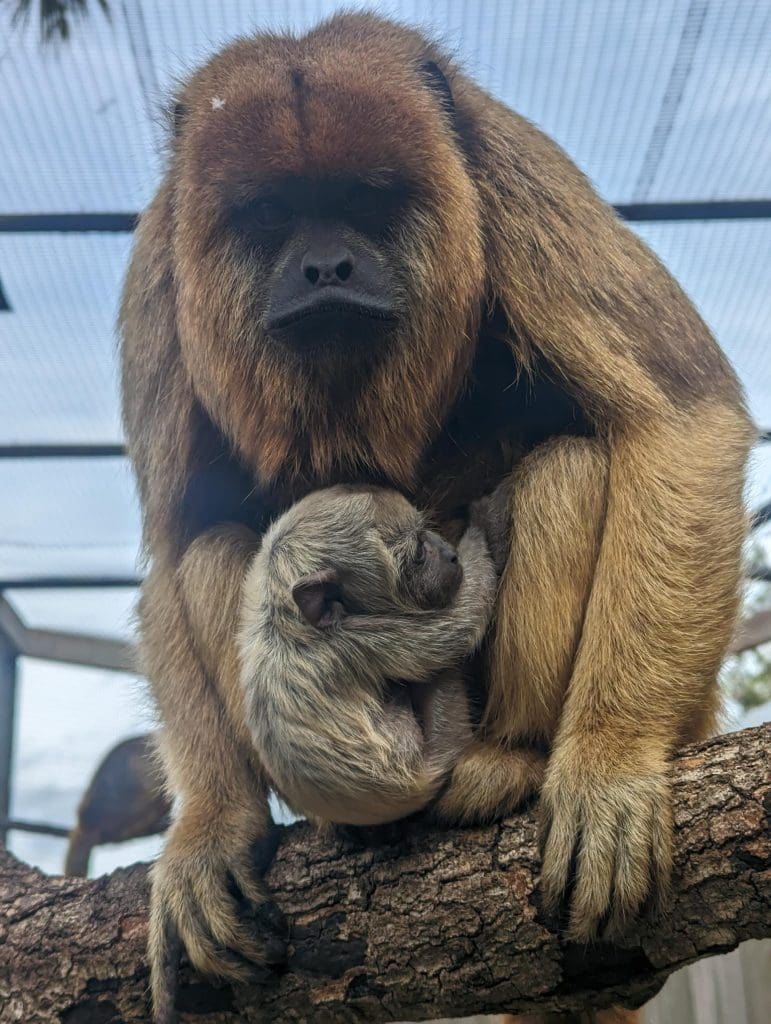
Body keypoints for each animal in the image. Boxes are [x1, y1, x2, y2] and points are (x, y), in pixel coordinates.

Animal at [120, 12, 753, 1019]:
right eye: (273, 216)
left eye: (365, 200)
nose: (326, 264)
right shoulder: (157, 262)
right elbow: (179, 533)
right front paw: (211, 830)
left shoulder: (508, 170)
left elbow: (681, 421)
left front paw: (611, 760)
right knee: (219, 548)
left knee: (571, 468)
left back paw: (513, 758)